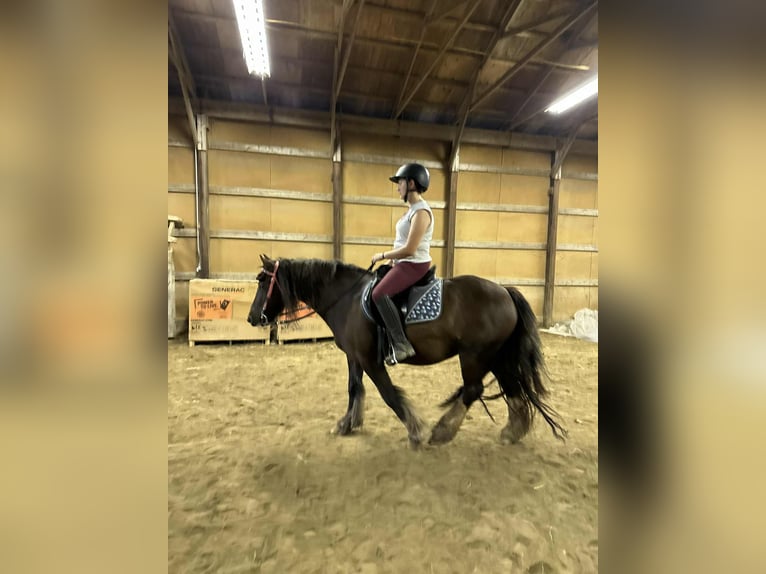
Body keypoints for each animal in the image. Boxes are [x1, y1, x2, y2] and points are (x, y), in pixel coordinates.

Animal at [247, 254, 567, 448]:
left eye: (263, 281)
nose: (252, 317)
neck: (348, 299)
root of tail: (505, 292)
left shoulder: (370, 360)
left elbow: (388, 394)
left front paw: (416, 430)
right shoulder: (353, 356)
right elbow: (354, 388)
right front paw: (347, 424)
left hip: (475, 355)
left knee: (473, 389)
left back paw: (442, 431)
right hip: (496, 356)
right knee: (510, 388)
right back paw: (512, 431)